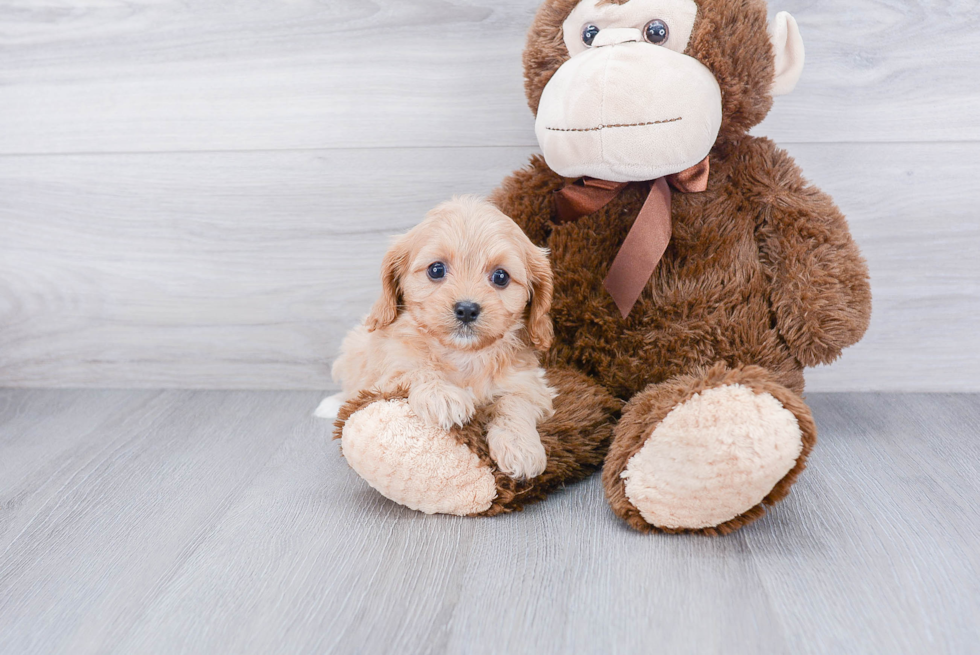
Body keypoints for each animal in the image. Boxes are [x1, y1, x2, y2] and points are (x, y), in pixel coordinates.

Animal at [334, 197, 556, 480]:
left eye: (501, 276)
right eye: (436, 270)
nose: (467, 309)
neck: (463, 354)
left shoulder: (530, 384)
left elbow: (515, 402)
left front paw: (520, 447)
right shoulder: (385, 373)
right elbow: (415, 369)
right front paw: (443, 396)